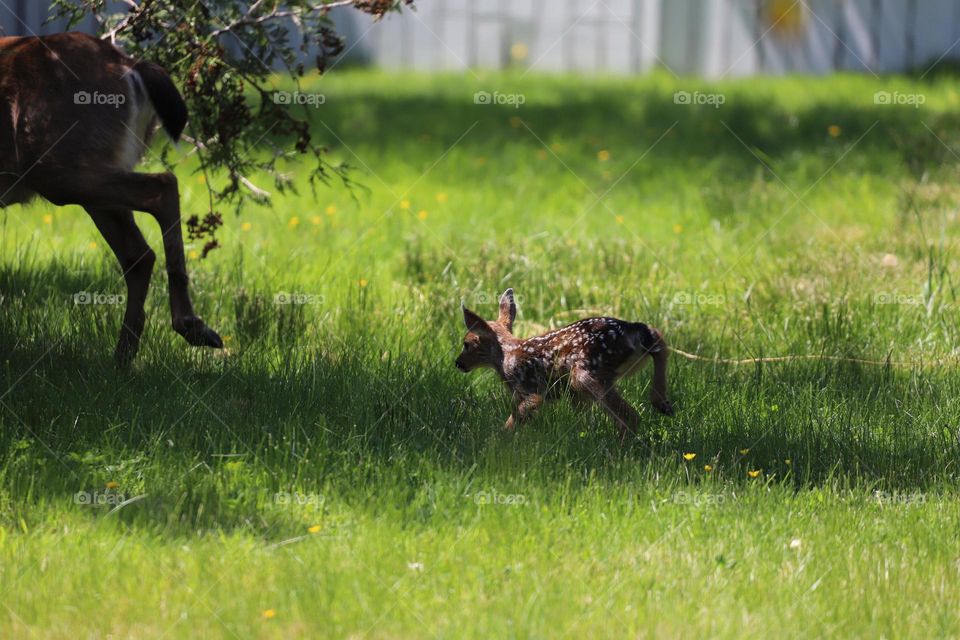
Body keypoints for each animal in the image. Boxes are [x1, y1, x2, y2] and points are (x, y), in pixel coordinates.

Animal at [0, 32, 219, 364]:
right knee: (138, 254)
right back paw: (124, 358)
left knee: (163, 185)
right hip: (93, 173)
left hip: (57, 168)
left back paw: (188, 326)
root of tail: (128, 64)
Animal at [458, 290, 676, 444]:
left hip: (585, 373)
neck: (506, 355)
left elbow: (518, 414)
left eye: (467, 343)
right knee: (658, 337)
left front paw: (498, 439)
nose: (457, 363)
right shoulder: (572, 397)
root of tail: (631, 332)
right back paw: (662, 403)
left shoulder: (530, 388)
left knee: (630, 416)